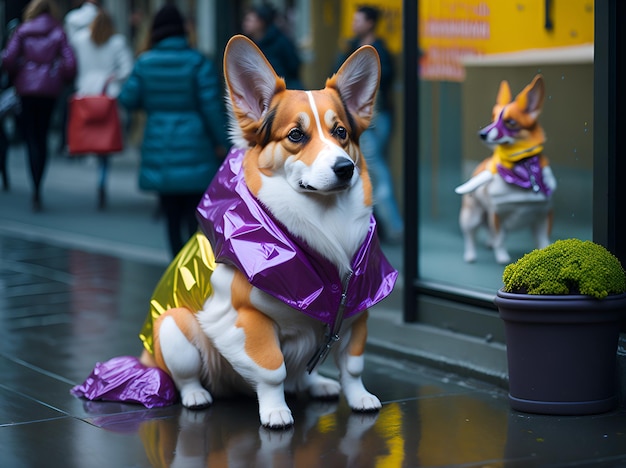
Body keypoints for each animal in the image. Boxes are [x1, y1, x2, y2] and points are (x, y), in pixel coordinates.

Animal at [138, 36, 398, 430]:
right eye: (296, 135)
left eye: (341, 133)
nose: (345, 168)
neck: (325, 221)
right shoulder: (249, 318)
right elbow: (272, 370)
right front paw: (275, 411)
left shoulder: (355, 316)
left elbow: (352, 367)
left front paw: (359, 398)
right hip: (173, 328)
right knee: (186, 375)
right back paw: (196, 395)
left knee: (304, 373)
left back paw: (319, 384)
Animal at [454, 73, 556, 264]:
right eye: (493, 118)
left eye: (510, 122)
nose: (482, 134)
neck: (524, 168)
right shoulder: (497, 216)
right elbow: (500, 239)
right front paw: (502, 257)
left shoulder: (542, 216)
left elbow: (543, 241)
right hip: (471, 217)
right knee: (470, 236)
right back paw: (470, 255)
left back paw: (488, 244)